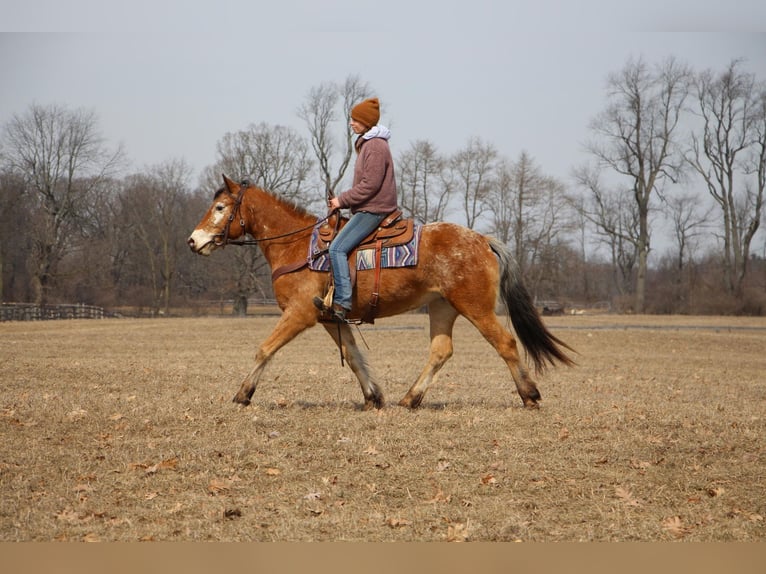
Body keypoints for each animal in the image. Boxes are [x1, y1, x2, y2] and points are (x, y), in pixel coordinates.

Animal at [189, 178, 576, 412]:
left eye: (221, 208)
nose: (194, 241)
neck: (297, 246)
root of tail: (482, 239)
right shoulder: (330, 318)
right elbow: (354, 356)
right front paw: (373, 396)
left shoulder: (299, 314)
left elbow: (265, 349)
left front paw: (243, 394)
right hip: (442, 308)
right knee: (441, 351)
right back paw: (410, 398)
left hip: (475, 307)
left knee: (506, 344)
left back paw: (530, 395)